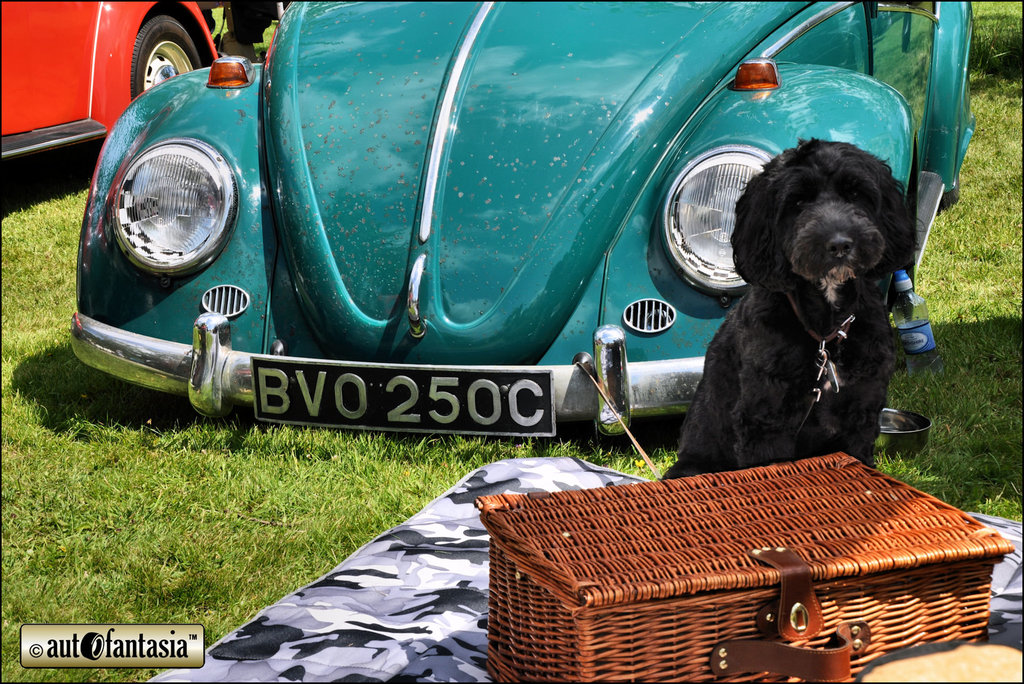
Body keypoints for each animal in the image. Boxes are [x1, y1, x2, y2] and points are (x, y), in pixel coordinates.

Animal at [667, 139, 917, 479]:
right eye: (797, 201)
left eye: (855, 193)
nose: (840, 244)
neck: (825, 332)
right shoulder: (764, 422)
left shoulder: (860, 414)